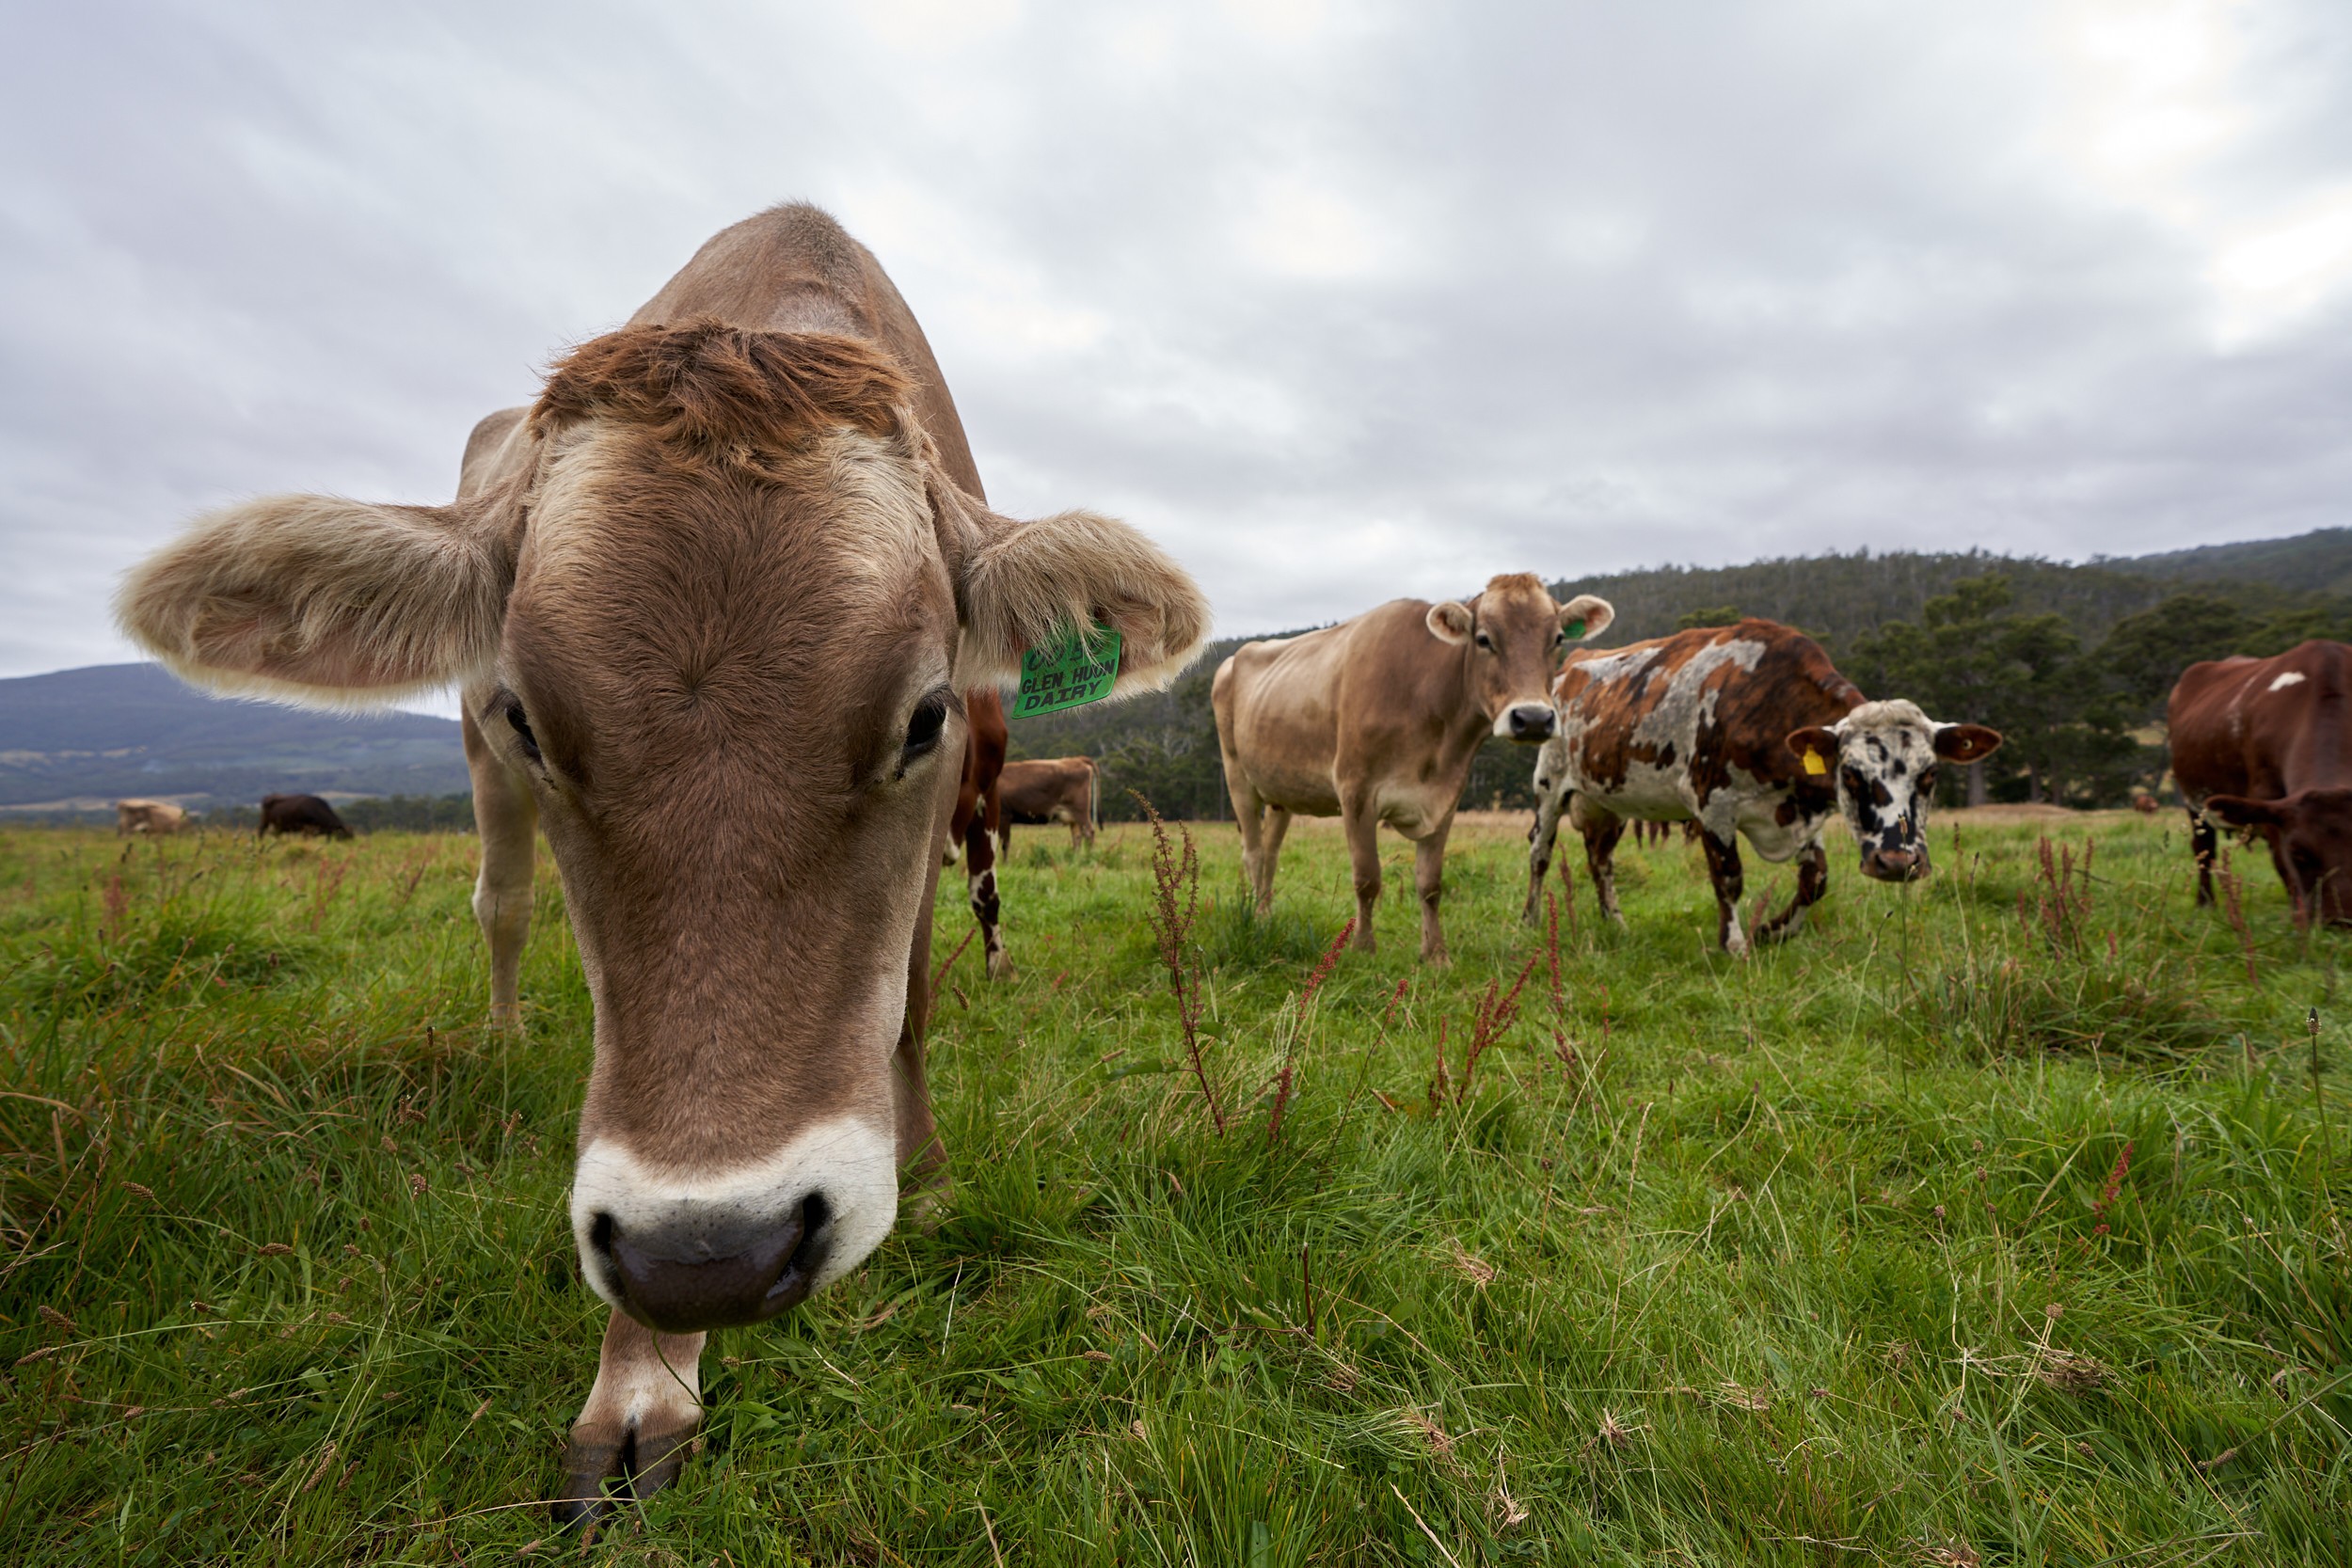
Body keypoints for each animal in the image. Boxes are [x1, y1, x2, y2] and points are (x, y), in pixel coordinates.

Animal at [114, 202, 1209, 1525]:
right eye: (531, 716)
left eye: (923, 714)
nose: (714, 1252)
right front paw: (642, 1379)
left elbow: (907, 990)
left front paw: (925, 1155)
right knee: (503, 904)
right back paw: (502, 1033)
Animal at [1214, 574, 1614, 963]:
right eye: (1483, 639)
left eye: (1557, 638)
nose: (1532, 718)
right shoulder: (1355, 791)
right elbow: (1367, 877)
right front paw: (1363, 949)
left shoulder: (1446, 798)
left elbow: (1430, 883)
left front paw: (1435, 953)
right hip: (1237, 776)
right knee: (1253, 853)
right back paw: (1256, 918)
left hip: (1280, 791)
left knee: (1270, 853)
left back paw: (1266, 915)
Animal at [1524, 619, 2002, 954]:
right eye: (1850, 774)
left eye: (1930, 774)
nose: (1897, 862)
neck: (1767, 703)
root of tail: (1571, 664)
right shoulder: (1712, 807)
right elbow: (1729, 877)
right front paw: (1735, 944)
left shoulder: (1804, 809)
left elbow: (1816, 879)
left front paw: (1775, 930)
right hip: (1549, 787)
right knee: (1540, 854)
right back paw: (1531, 919)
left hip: (1610, 802)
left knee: (1600, 860)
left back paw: (1615, 922)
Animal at [2168, 640, 2352, 926]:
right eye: (2298, 853)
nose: (2340, 922)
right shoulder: (2268, 798)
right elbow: (2281, 863)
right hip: (2193, 801)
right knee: (2203, 849)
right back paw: (2205, 904)